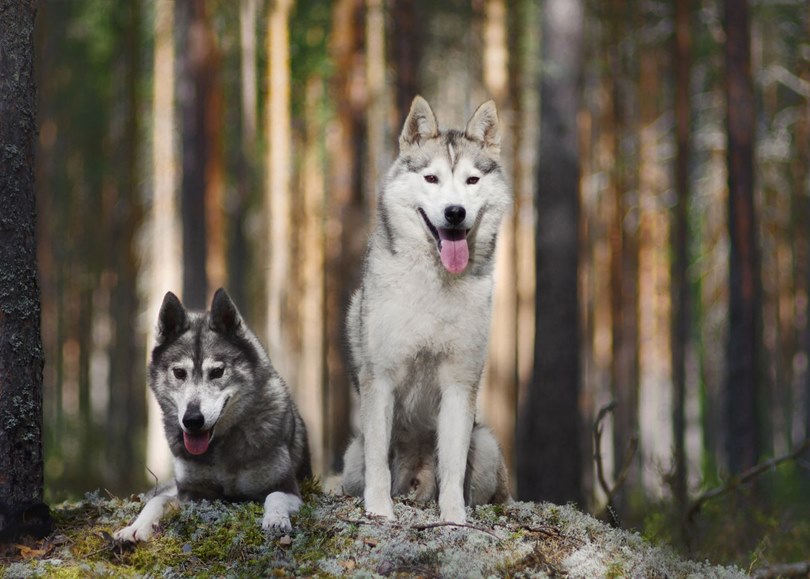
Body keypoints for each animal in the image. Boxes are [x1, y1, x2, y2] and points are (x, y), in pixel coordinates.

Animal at [115, 290, 310, 544]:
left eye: (217, 372)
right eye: (179, 373)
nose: (192, 420)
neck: (222, 447)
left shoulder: (287, 487)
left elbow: (274, 496)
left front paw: (275, 519)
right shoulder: (191, 494)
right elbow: (159, 501)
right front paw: (136, 527)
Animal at [340, 97, 512, 524]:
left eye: (471, 181)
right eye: (431, 178)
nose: (454, 212)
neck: (436, 285)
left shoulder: (459, 383)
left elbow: (452, 463)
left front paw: (453, 518)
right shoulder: (380, 378)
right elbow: (379, 460)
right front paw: (379, 510)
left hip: (486, 445)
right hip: (351, 460)